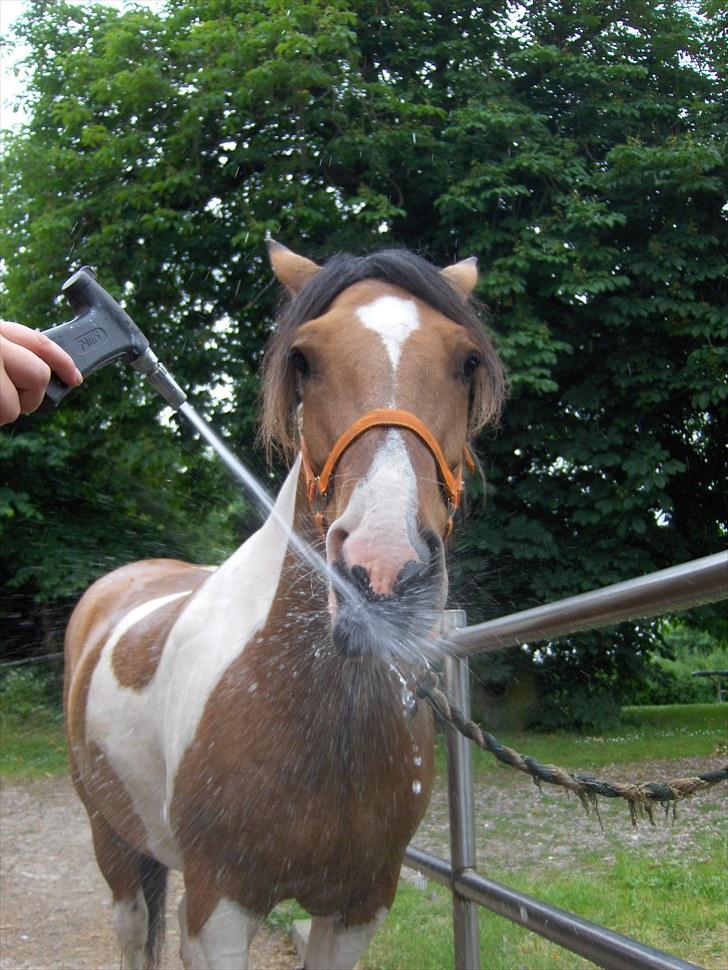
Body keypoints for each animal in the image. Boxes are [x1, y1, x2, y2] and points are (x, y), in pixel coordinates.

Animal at [64, 236, 506, 968]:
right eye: (304, 358)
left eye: (466, 361)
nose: (382, 572)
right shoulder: (218, 910)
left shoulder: (359, 907)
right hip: (110, 838)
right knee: (132, 929)